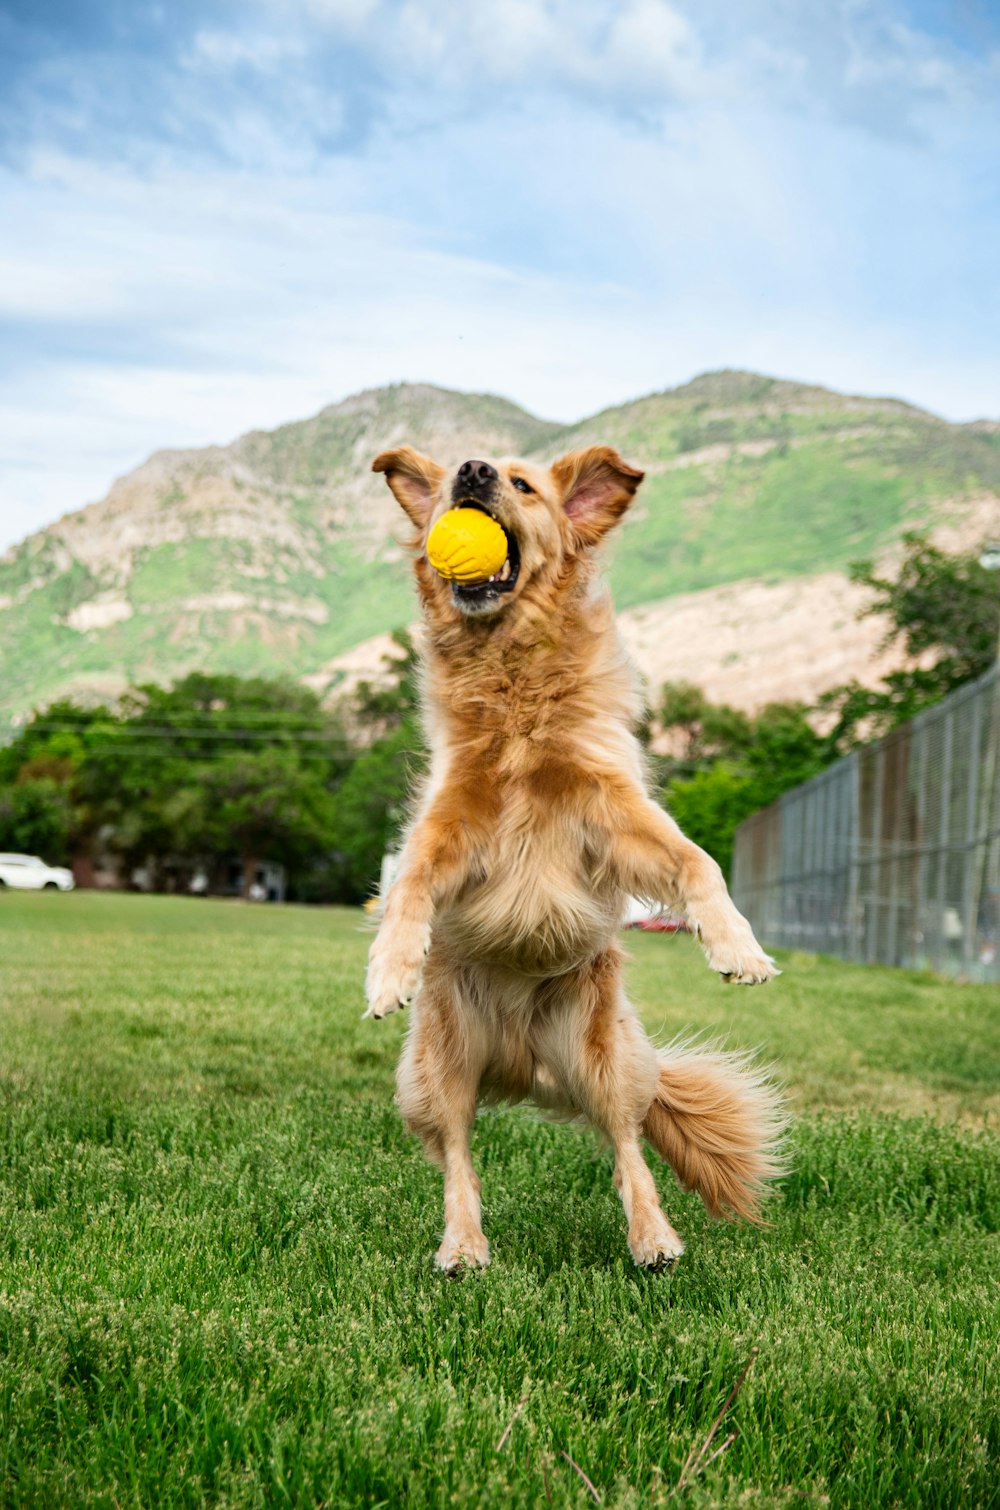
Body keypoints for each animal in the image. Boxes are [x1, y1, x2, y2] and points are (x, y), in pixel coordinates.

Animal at [367, 443, 785, 1274]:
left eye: (524, 484)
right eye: (451, 480)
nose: (471, 470)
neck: (515, 684)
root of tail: (522, 1065)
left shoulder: (615, 811)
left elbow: (700, 862)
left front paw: (738, 949)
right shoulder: (450, 822)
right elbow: (411, 882)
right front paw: (390, 969)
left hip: (605, 1059)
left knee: (627, 1144)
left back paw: (654, 1239)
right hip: (437, 1067)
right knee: (459, 1155)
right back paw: (463, 1245)